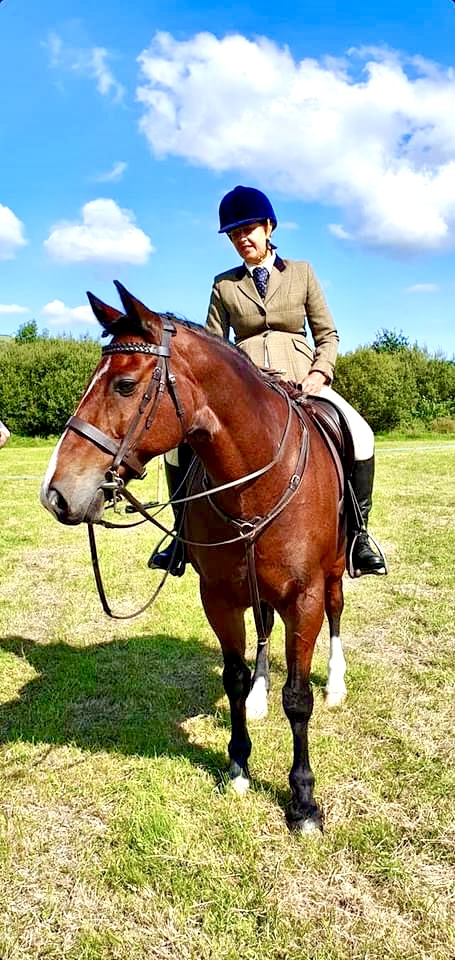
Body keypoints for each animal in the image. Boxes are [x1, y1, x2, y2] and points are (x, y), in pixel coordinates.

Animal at [40, 282, 348, 833]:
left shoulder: (304, 597)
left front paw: (303, 801)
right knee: (263, 630)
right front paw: (239, 764)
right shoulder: (220, 597)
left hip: (332, 576)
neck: (253, 481)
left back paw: (336, 684)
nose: (55, 494)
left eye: (123, 385)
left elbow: (299, 698)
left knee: (336, 612)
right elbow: (233, 678)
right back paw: (261, 694)